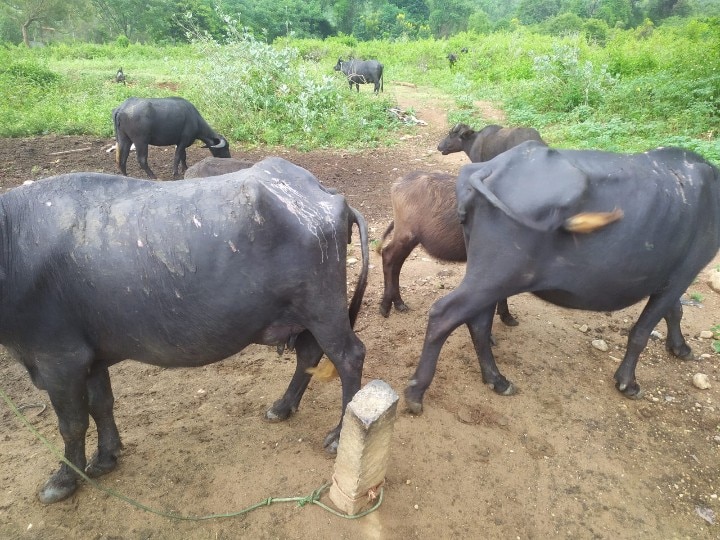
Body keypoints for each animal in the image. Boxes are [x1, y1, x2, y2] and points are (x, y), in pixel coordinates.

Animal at [1, 158, 372, 504]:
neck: (13, 247)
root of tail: (326, 194)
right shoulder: (91, 357)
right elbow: (101, 405)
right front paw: (106, 457)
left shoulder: (59, 359)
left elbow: (72, 423)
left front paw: (63, 480)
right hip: (306, 315)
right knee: (309, 354)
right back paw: (281, 407)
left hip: (323, 308)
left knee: (349, 357)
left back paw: (339, 435)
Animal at [376, 171, 516, 326]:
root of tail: (399, 183)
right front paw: (505, 316)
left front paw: (505, 315)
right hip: (406, 235)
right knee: (388, 256)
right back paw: (385, 306)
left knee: (396, 264)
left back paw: (399, 303)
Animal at [404, 140, 720, 414]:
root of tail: (488, 169)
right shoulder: (683, 273)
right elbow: (643, 330)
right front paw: (628, 382)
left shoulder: (669, 276)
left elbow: (675, 312)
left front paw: (680, 347)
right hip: (495, 275)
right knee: (444, 314)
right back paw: (415, 393)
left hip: (488, 277)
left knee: (479, 323)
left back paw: (497, 380)